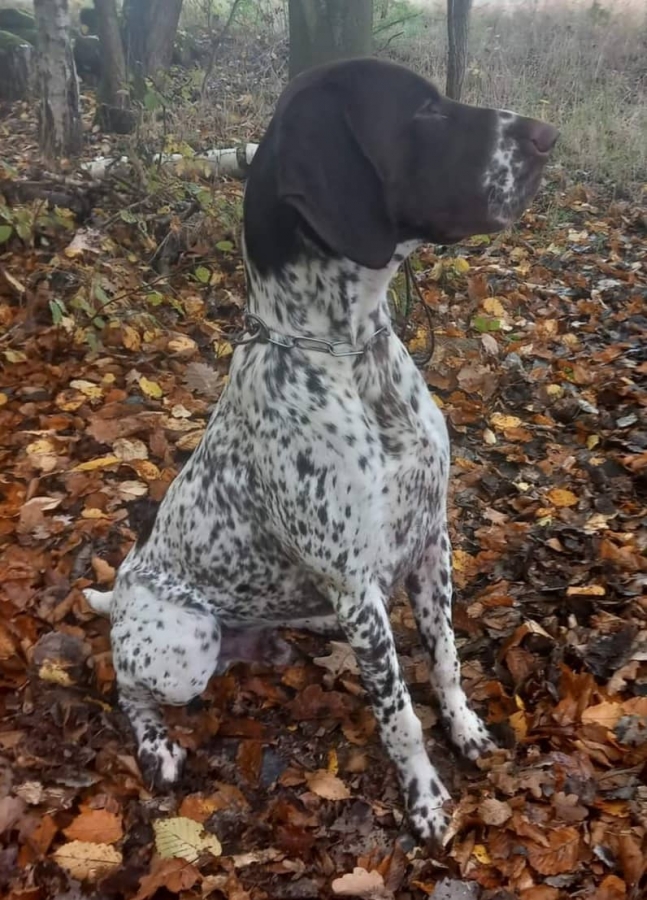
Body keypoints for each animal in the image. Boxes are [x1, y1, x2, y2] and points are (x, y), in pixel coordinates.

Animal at [85, 58, 557, 844]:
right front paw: (425, 797)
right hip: (183, 644)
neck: (351, 356)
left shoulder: (430, 540)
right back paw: (156, 745)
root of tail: (120, 590)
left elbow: (448, 660)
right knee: (127, 686)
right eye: (424, 111)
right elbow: (399, 713)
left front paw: (464, 728)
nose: (547, 136)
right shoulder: (357, 584)